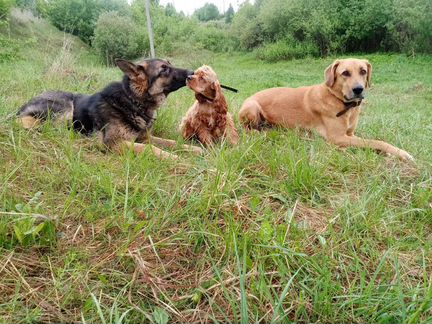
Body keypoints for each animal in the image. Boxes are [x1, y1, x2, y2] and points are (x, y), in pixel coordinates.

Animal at [17, 58, 203, 160]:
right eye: (164, 69)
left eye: (169, 64)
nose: (192, 73)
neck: (134, 101)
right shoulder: (115, 143)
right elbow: (150, 149)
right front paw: (173, 157)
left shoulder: (145, 137)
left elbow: (170, 142)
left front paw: (193, 149)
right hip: (65, 106)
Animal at [238, 58, 414, 161]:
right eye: (345, 73)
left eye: (363, 71)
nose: (358, 89)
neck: (340, 101)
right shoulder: (338, 137)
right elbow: (377, 142)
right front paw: (402, 153)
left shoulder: (350, 134)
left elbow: (372, 142)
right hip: (252, 107)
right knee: (247, 129)